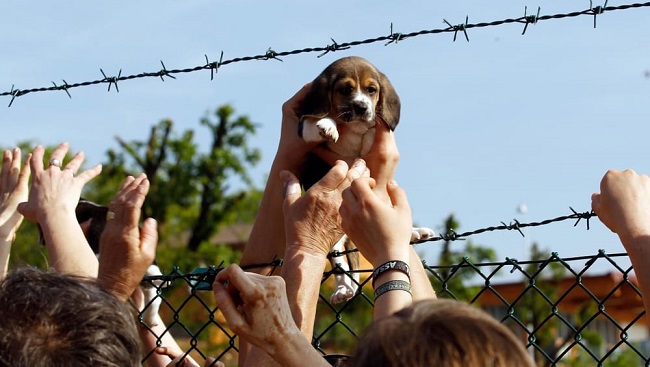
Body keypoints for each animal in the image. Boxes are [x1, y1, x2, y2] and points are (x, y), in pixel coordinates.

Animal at [298, 56, 430, 304]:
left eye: (371, 90)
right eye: (345, 90)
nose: (361, 107)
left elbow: (371, 133)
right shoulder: (304, 132)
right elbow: (313, 122)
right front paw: (328, 124)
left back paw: (415, 231)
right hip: (334, 240)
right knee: (340, 264)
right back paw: (342, 289)